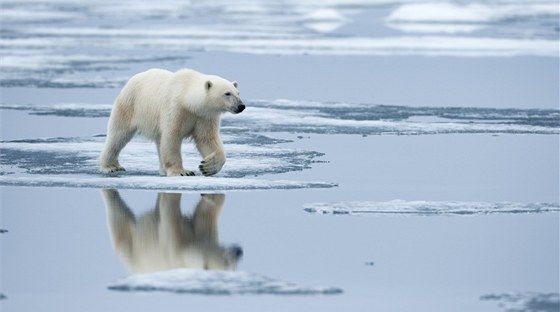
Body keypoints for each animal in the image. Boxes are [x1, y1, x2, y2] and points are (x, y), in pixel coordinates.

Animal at [99, 68, 244, 176]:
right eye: (227, 93)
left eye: (238, 93)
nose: (241, 106)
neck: (188, 98)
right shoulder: (175, 109)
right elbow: (172, 137)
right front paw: (182, 172)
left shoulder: (204, 116)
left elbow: (207, 139)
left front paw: (207, 167)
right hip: (129, 105)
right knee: (118, 136)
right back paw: (111, 166)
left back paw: (162, 170)